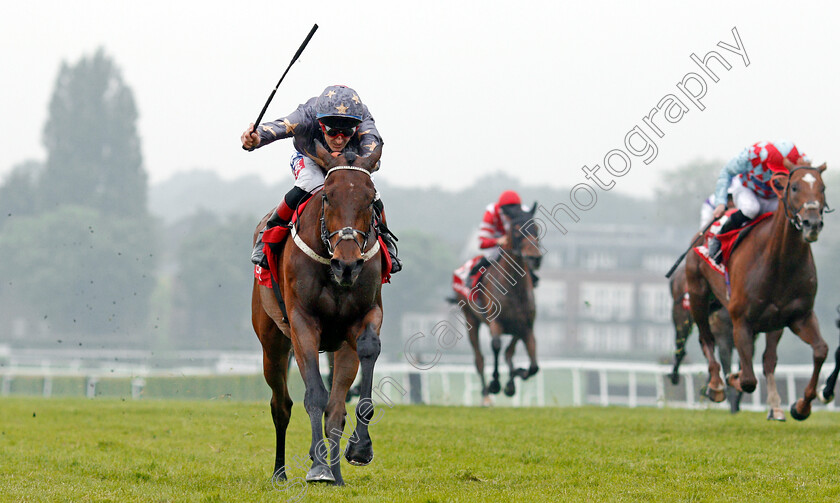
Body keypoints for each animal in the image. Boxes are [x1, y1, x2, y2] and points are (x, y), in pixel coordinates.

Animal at [248, 140, 382, 486]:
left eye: (371, 199)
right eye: (327, 197)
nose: (347, 264)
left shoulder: (365, 316)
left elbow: (366, 354)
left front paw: (358, 449)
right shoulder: (302, 323)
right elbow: (314, 396)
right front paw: (318, 467)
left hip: (338, 346)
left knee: (336, 406)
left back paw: (335, 472)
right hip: (272, 343)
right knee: (281, 405)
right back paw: (280, 473)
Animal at [452, 205, 544, 406]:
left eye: (536, 228)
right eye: (517, 230)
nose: (535, 258)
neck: (514, 288)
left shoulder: (526, 327)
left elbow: (532, 366)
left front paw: (513, 380)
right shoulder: (496, 323)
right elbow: (496, 346)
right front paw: (495, 383)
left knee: (508, 353)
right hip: (470, 319)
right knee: (479, 359)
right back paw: (486, 395)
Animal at [664, 264, 788, 418]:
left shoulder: (748, 341)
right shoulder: (724, 340)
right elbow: (726, 368)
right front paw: (732, 402)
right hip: (681, 317)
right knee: (681, 347)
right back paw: (675, 375)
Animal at [684, 161, 832, 422]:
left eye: (822, 188)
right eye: (794, 187)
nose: (812, 224)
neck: (780, 262)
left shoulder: (799, 317)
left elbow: (820, 351)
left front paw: (801, 406)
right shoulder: (741, 320)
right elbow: (748, 380)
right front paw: (731, 379)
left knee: (768, 359)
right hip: (697, 294)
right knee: (706, 338)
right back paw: (716, 385)